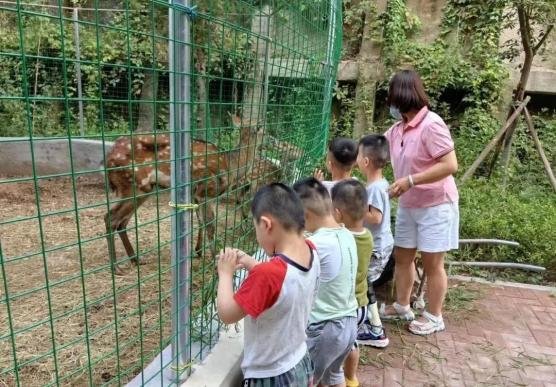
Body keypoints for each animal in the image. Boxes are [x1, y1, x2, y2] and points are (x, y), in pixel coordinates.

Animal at [105, 113, 264, 274]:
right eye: (261, 127)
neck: (231, 165)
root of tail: (108, 159)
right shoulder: (206, 191)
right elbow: (210, 225)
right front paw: (215, 262)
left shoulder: (196, 195)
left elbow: (200, 221)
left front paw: (198, 251)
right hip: (135, 186)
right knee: (111, 218)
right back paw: (116, 267)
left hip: (142, 188)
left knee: (122, 222)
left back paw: (136, 259)